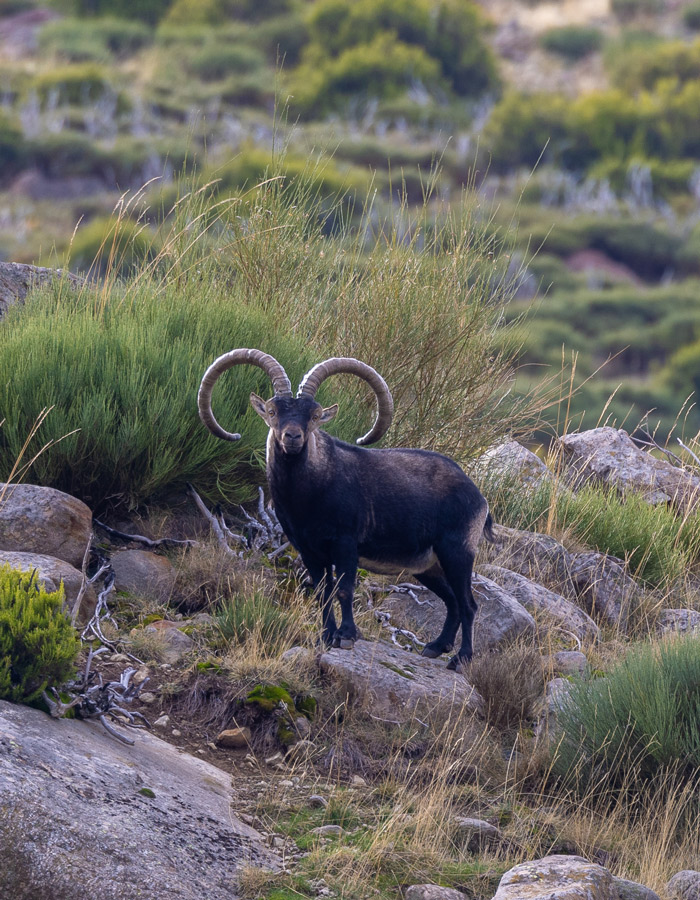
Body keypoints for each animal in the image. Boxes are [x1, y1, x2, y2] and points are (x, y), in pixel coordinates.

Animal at [198, 348, 494, 670]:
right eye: (273, 411)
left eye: (315, 415)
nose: (292, 437)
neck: (310, 494)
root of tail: (478, 496)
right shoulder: (309, 550)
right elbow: (322, 592)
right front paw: (326, 636)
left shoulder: (346, 544)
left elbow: (344, 589)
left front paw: (347, 636)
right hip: (428, 565)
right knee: (452, 600)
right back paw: (436, 647)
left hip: (457, 552)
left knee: (468, 604)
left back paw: (461, 658)